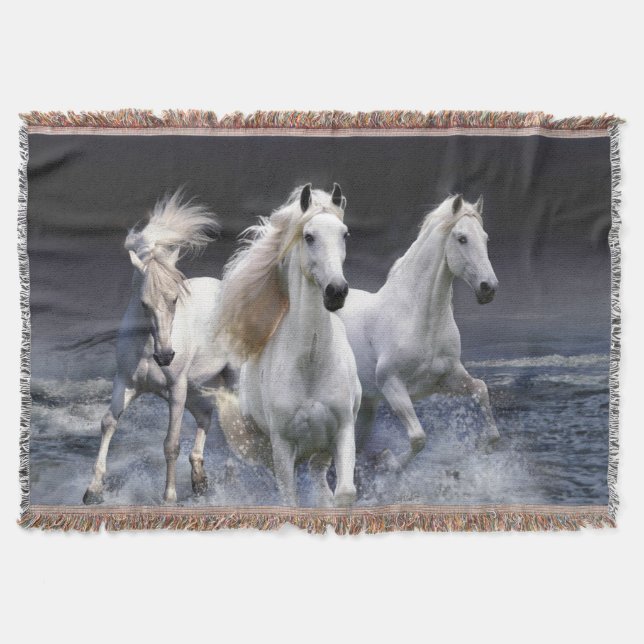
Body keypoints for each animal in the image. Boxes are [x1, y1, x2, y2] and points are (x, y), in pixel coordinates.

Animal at [83, 191, 236, 505]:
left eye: (175, 299)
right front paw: (93, 490)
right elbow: (108, 423)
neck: (147, 348)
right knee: (205, 416)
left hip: (229, 379)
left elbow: (171, 444)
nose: (165, 356)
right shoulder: (126, 383)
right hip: (197, 388)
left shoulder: (176, 390)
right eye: (144, 303)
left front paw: (169, 498)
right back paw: (199, 480)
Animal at [215, 184, 361, 507]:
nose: (336, 291)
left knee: (320, 482)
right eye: (309, 236)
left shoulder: (343, 431)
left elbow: (345, 492)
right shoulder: (282, 447)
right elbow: (290, 501)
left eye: (344, 234)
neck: (311, 363)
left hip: (320, 453)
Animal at [336, 194, 500, 469]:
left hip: (366, 404)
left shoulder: (447, 378)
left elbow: (480, 390)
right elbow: (418, 438)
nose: (488, 288)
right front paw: (390, 462)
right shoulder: (392, 385)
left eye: (486, 238)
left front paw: (483, 445)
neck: (419, 320)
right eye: (462, 238)